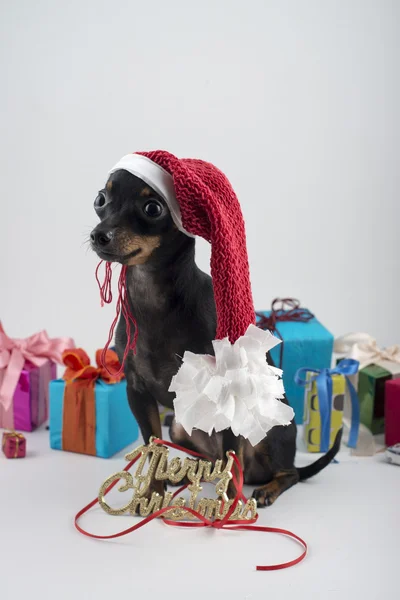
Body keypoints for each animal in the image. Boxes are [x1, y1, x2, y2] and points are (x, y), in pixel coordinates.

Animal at [90, 166, 340, 504]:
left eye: (152, 208)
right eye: (100, 199)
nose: (99, 234)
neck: (152, 297)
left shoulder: (227, 394)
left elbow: (231, 462)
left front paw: (226, 509)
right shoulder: (137, 391)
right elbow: (152, 446)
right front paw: (153, 492)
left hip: (266, 434)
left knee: (287, 472)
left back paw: (267, 489)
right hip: (180, 428)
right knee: (214, 461)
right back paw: (189, 473)